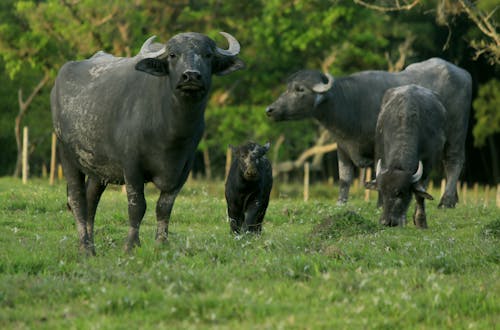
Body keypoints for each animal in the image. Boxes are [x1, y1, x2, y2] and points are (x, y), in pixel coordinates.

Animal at [50, 32, 244, 254]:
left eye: (208, 55)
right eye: (173, 55)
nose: (191, 76)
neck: (170, 131)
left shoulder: (183, 169)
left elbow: (164, 206)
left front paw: (161, 243)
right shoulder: (132, 166)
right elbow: (137, 206)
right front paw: (131, 244)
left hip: (98, 168)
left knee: (91, 199)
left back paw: (90, 243)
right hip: (66, 154)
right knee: (77, 199)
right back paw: (85, 248)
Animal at [268, 56, 470, 206]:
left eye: (300, 89)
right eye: (288, 88)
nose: (270, 110)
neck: (350, 104)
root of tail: (463, 73)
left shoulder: (379, 147)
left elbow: (380, 173)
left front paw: (381, 202)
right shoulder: (342, 147)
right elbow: (344, 178)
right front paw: (341, 202)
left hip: (456, 131)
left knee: (454, 161)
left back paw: (446, 201)